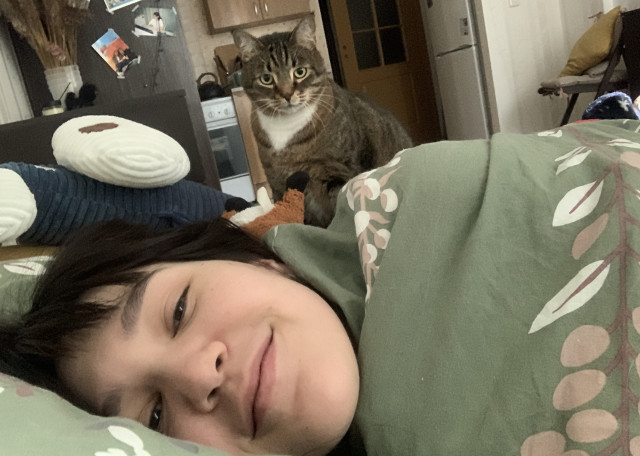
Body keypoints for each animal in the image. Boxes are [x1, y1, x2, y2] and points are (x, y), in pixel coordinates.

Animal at [232, 15, 413, 227]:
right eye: (266, 79)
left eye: (300, 72)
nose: (287, 94)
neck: (286, 130)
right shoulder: (276, 182)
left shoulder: (338, 172)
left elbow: (340, 212)